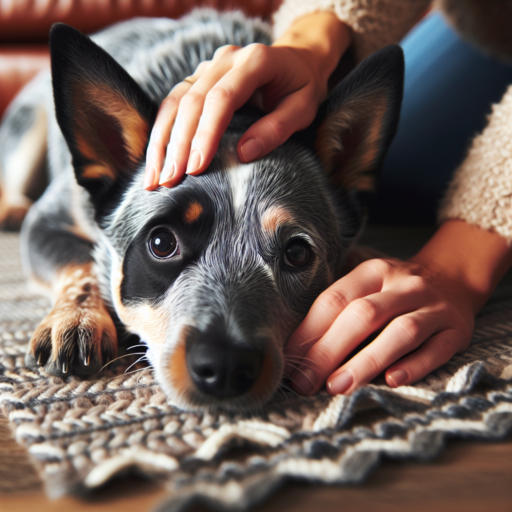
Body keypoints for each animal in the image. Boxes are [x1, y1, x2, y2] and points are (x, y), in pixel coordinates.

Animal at [0, 9, 402, 412]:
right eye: (161, 243)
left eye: (298, 253)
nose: (225, 366)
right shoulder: (48, 221)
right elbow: (80, 264)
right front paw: (77, 318)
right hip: (28, 132)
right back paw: (11, 209)